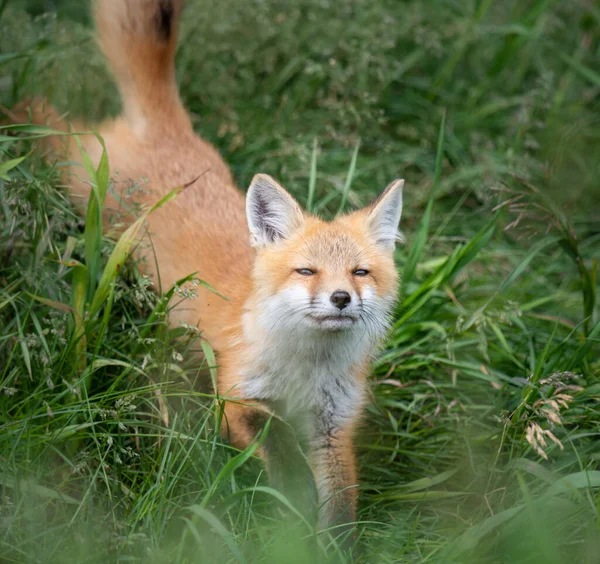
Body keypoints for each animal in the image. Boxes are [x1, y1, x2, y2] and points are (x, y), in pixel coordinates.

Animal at [10, 0, 404, 540]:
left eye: (360, 273)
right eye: (307, 271)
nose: (341, 299)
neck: (306, 369)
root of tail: (166, 130)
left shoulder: (332, 422)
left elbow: (341, 504)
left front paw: (329, 544)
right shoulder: (236, 393)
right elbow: (276, 443)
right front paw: (293, 500)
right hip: (75, 171)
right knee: (42, 115)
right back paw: (16, 121)